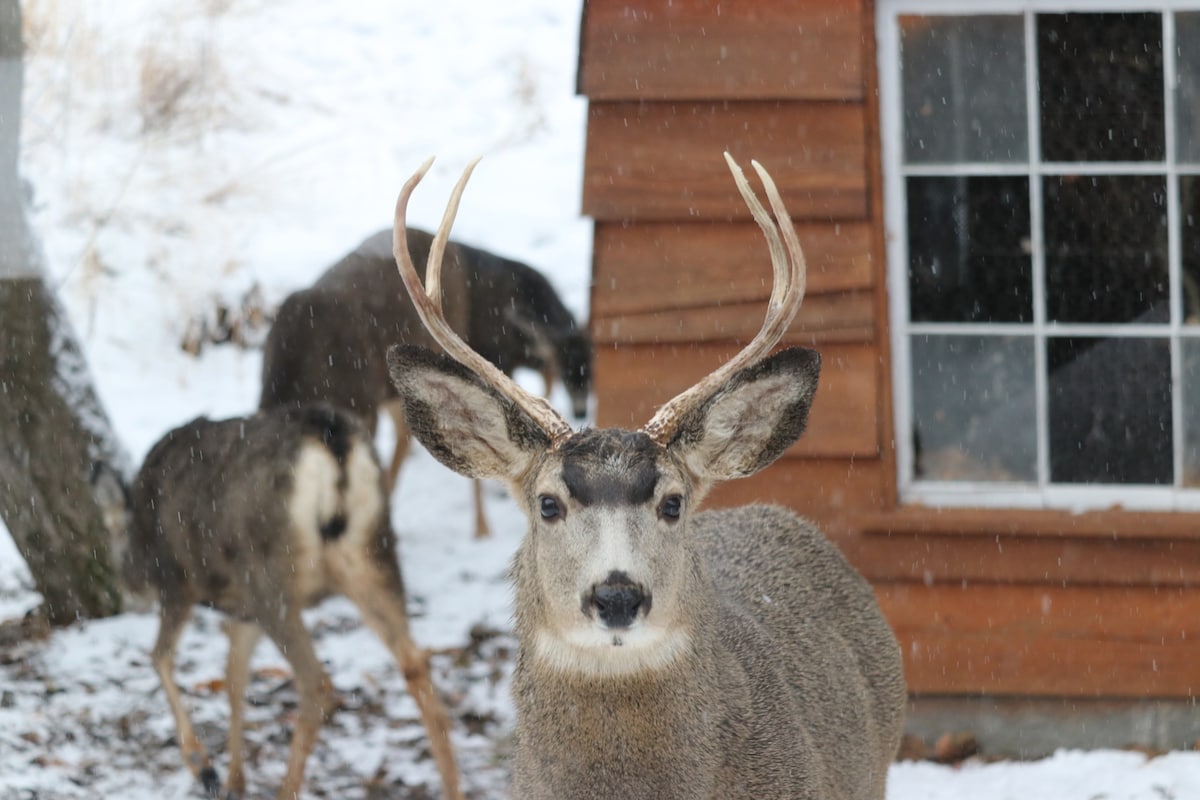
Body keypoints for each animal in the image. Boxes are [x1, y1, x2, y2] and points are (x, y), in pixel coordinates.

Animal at [123, 402, 458, 800]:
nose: (127, 584)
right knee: (417, 667)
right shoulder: (243, 611)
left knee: (315, 683)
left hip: (270, 576)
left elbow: (161, 658)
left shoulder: (177, 581)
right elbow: (234, 678)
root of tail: (332, 440)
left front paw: (204, 767)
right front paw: (235, 780)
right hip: (373, 554)